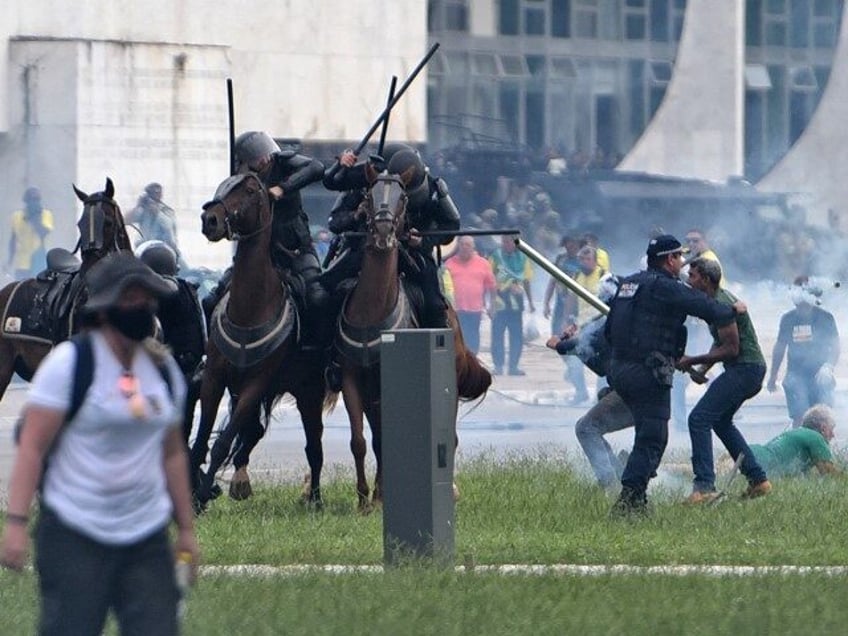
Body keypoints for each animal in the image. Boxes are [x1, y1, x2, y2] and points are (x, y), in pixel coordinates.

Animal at [194, 171, 336, 510]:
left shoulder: (257, 383)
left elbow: (222, 442)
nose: (210, 219)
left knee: (314, 444)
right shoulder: (216, 378)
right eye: (223, 185)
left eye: (248, 190)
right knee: (255, 432)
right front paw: (195, 490)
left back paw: (314, 498)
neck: (251, 308)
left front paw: (202, 494)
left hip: (307, 391)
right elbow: (204, 436)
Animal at [332, 166, 490, 510]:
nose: (383, 232)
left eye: (402, 197)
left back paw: (448, 489)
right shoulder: (352, 379)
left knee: (449, 436)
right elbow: (360, 441)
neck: (373, 312)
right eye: (368, 195)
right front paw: (364, 500)